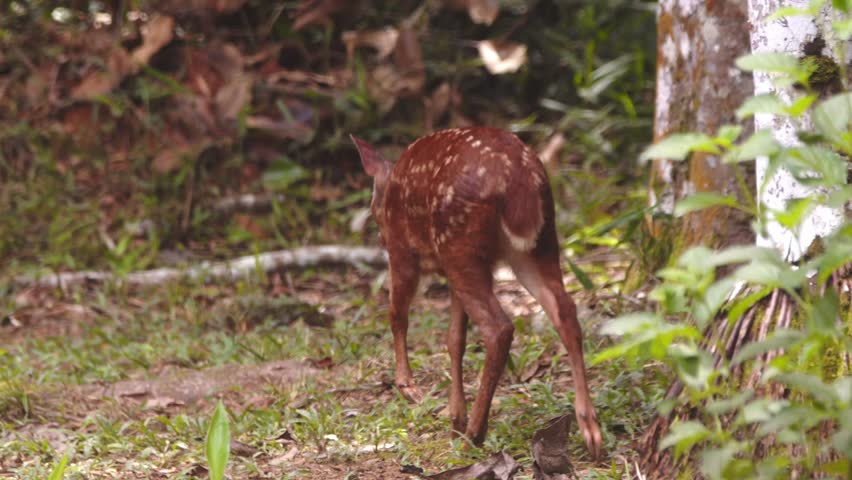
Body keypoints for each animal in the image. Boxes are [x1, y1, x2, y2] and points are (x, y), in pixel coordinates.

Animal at [350, 126, 602, 459]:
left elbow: (396, 314)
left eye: (373, 210)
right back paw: (590, 430)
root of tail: (518, 181)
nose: (379, 235)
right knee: (565, 311)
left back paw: (475, 433)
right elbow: (455, 339)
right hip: (539, 242)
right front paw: (455, 418)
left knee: (499, 327)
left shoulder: (403, 252)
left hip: (459, 243)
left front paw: (409, 388)